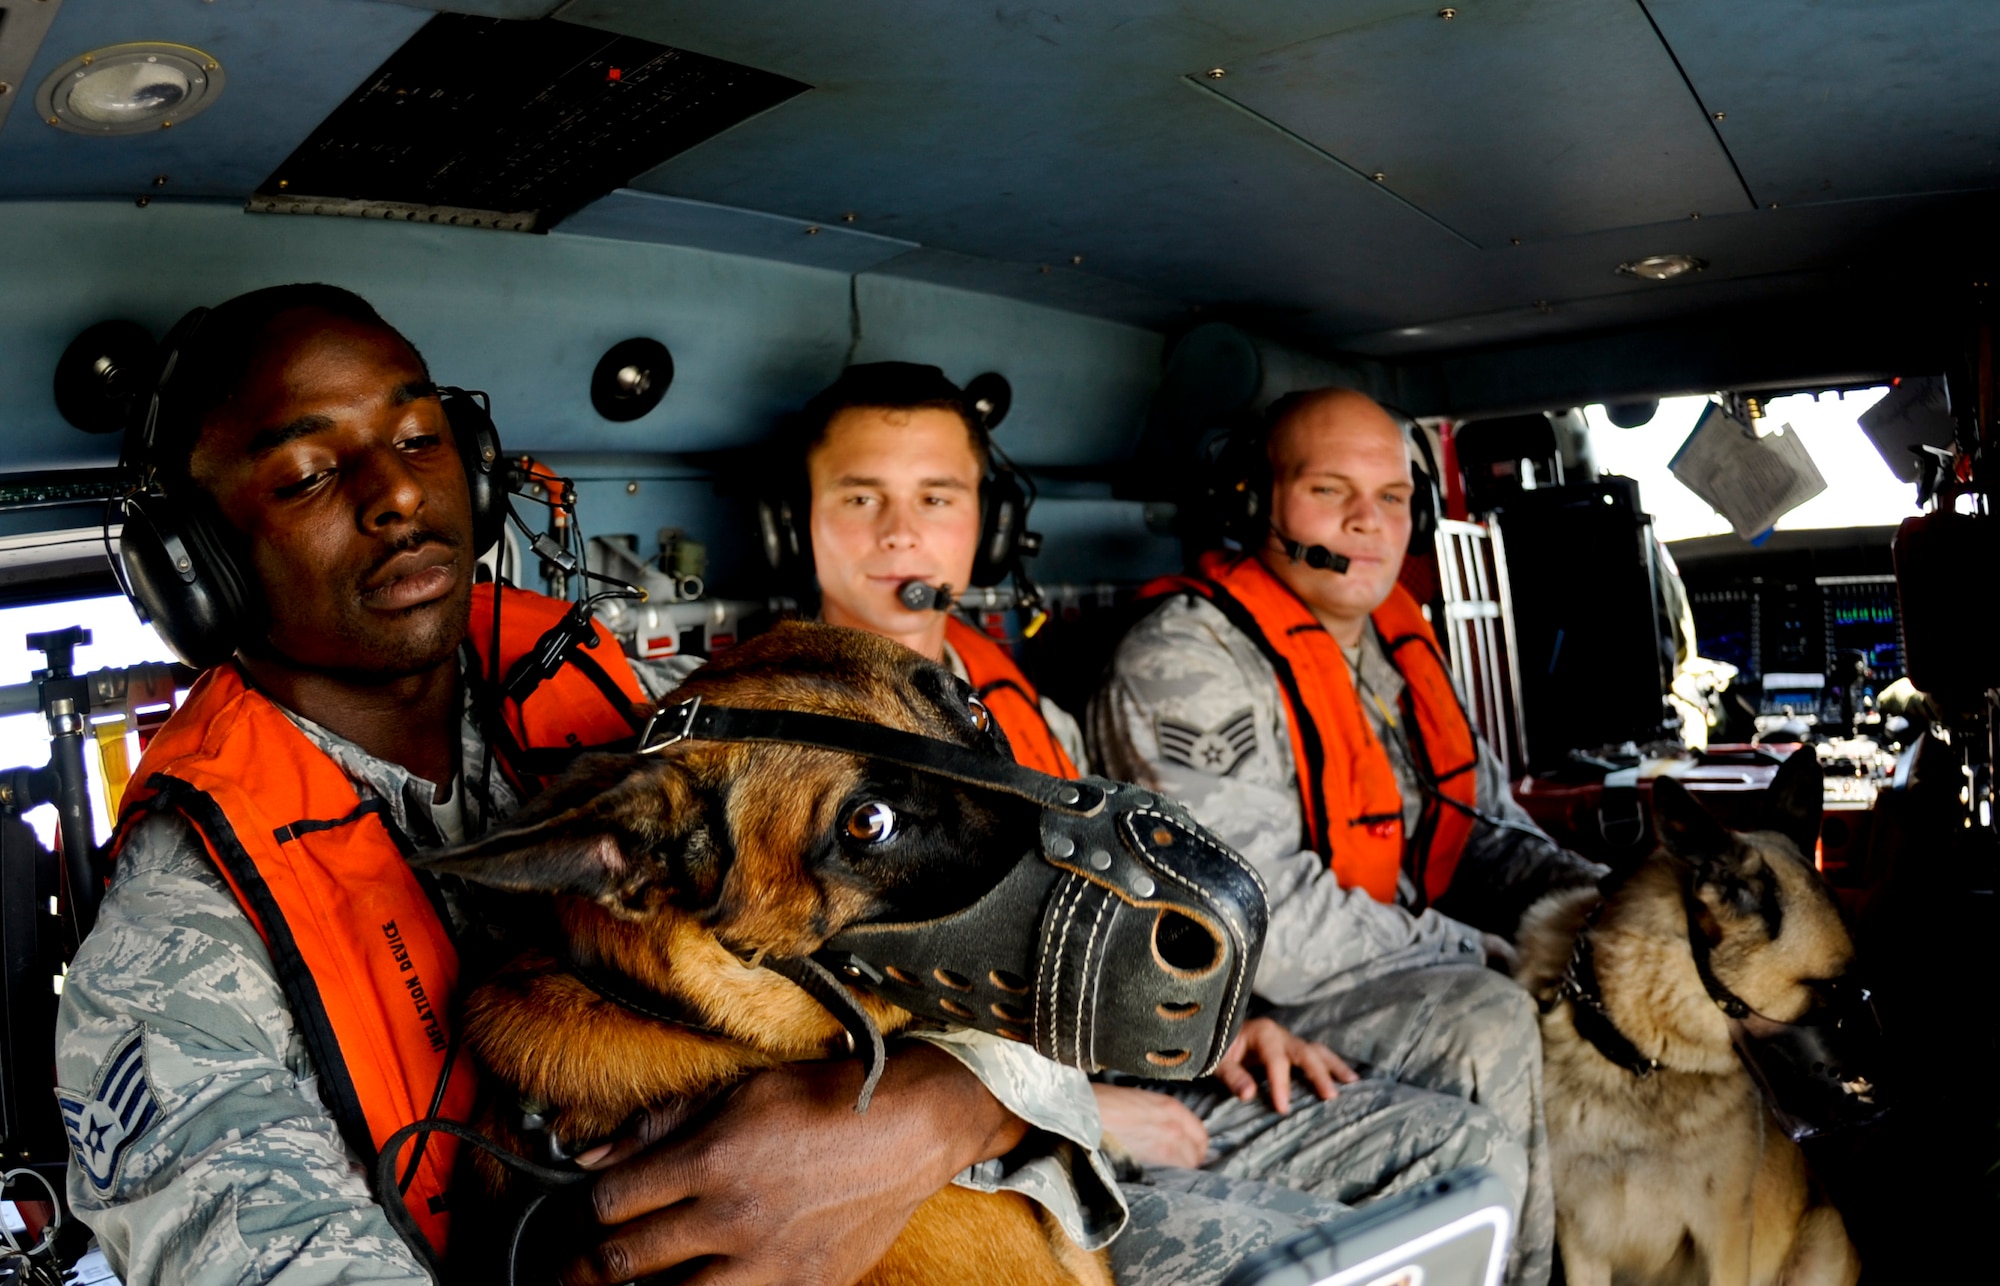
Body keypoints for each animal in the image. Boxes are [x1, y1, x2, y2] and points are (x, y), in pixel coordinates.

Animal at [1512, 756, 1872, 1286]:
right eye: (1830, 989)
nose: (1869, 1090)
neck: (1640, 1063)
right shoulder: (1581, 1243)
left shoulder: (1724, 1236)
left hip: (1821, 1242)